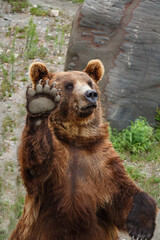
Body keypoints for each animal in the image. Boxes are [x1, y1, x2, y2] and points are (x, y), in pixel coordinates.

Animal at [9, 59, 158, 239]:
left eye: (89, 82)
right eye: (69, 85)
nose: (91, 94)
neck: (76, 139)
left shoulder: (101, 161)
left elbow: (122, 194)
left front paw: (141, 228)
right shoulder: (55, 168)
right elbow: (37, 166)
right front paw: (41, 102)